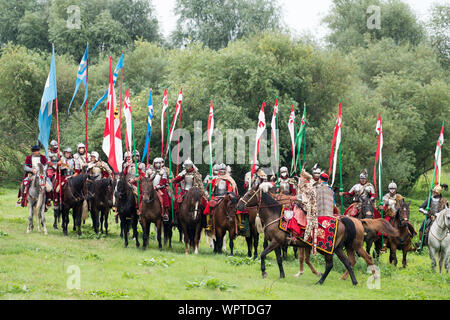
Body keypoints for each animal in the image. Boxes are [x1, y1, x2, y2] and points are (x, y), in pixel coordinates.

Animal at [237, 182, 396, 284]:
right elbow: (279, 259)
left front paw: (264, 272)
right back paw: (353, 281)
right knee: (347, 261)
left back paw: (322, 281)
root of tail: (352, 221)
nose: (239, 205)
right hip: (339, 248)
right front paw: (281, 275)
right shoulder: (276, 243)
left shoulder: (276, 242)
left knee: (340, 263)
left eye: (249, 193)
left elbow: (263, 254)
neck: (275, 215)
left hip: (337, 248)